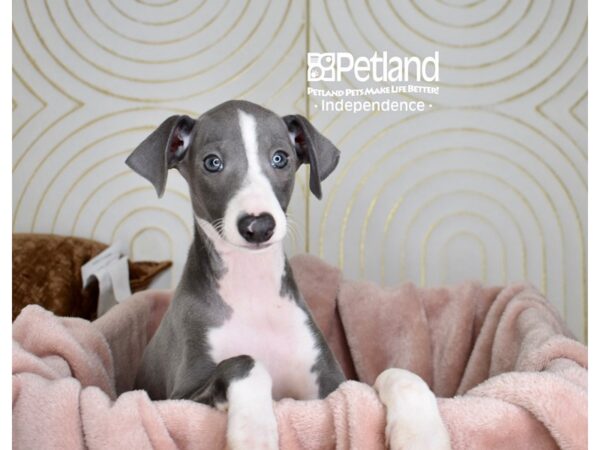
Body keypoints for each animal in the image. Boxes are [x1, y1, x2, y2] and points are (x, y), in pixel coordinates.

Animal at [129, 101, 452, 450]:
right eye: (212, 163)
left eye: (280, 158)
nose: (258, 226)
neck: (252, 289)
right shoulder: (178, 399)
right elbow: (244, 361)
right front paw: (254, 430)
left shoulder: (331, 389)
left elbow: (395, 373)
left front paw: (421, 433)